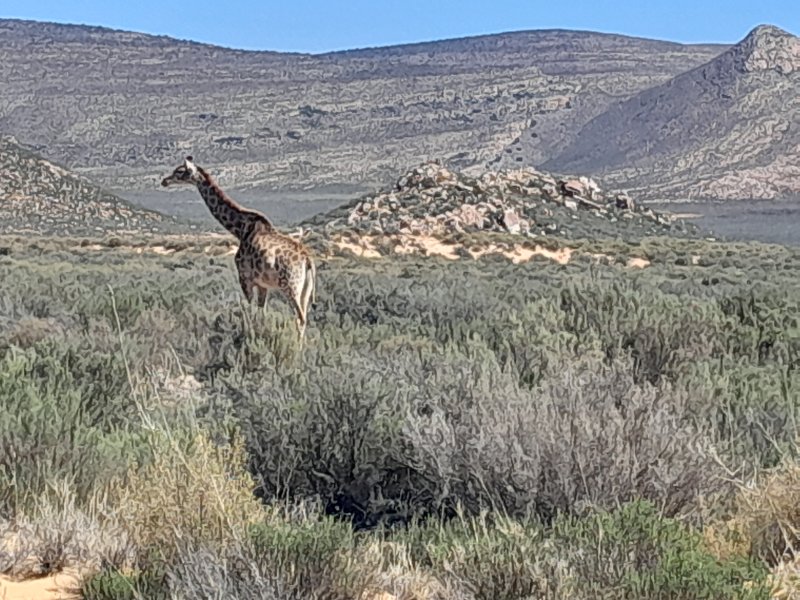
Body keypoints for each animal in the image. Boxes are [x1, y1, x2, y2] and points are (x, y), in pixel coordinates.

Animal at [160, 156, 316, 340]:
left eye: (179, 171)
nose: (164, 181)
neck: (240, 229)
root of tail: (308, 261)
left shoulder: (245, 278)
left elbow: (249, 312)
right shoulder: (262, 285)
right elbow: (260, 314)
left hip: (290, 286)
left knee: (299, 318)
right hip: (305, 289)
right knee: (303, 318)